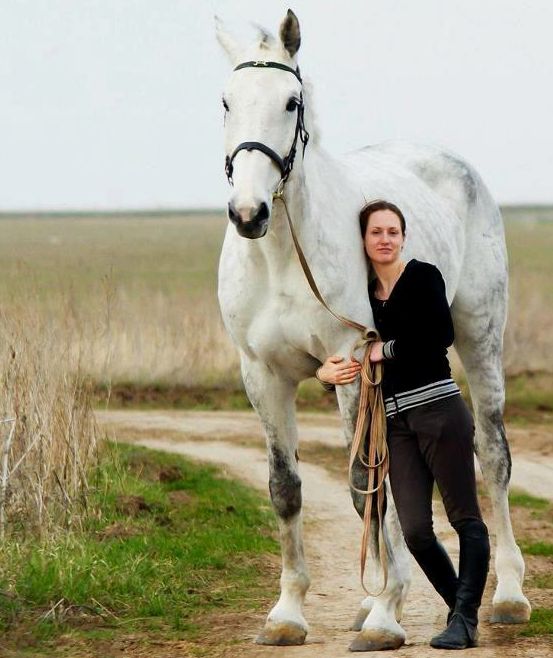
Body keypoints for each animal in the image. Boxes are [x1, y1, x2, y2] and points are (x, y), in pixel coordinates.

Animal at [213, 7, 528, 648]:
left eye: (291, 101)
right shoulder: (262, 377)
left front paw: (386, 612)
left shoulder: (355, 363)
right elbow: (286, 489)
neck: (282, 257)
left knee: (492, 455)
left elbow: (368, 486)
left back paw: (508, 594)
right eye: (227, 102)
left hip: (480, 339)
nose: (249, 213)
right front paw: (288, 614)